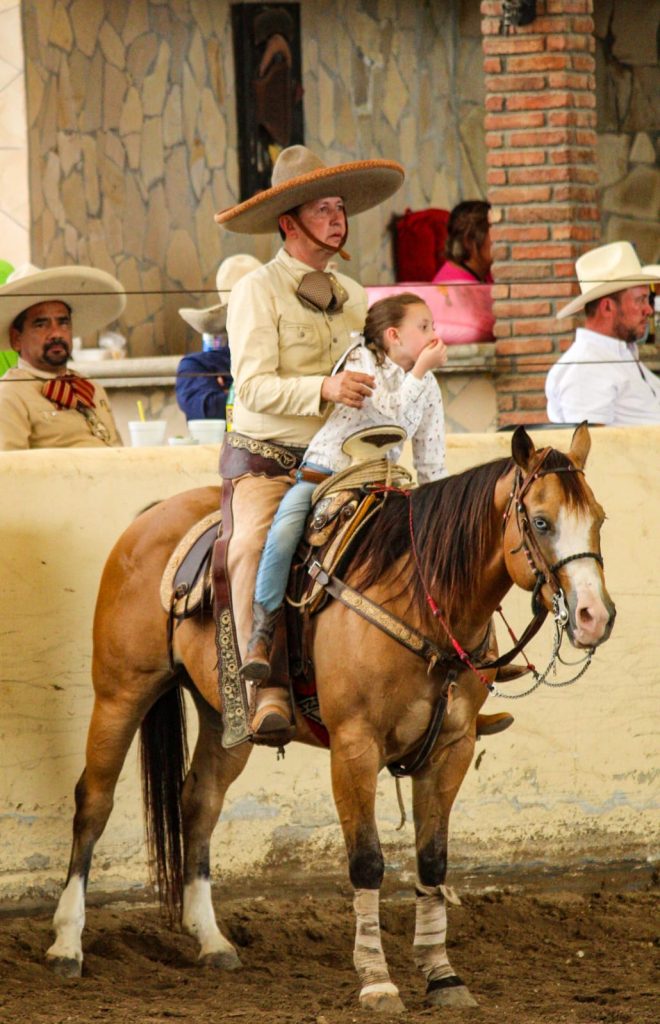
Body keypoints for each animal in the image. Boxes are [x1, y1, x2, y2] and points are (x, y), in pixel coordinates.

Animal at [46, 425, 613, 1015]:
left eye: (599, 517)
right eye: (541, 521)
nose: (595, 616)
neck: (421, 599)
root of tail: (152, 517)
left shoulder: (450, 749)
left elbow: (432, 861)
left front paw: (442, 975)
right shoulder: (354, 747)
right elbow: (366, 861)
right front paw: (377, 980)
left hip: (227, 720)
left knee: (199, 803)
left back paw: (211, 939)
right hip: (121, 692)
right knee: (94, 801)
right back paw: (66, 944)